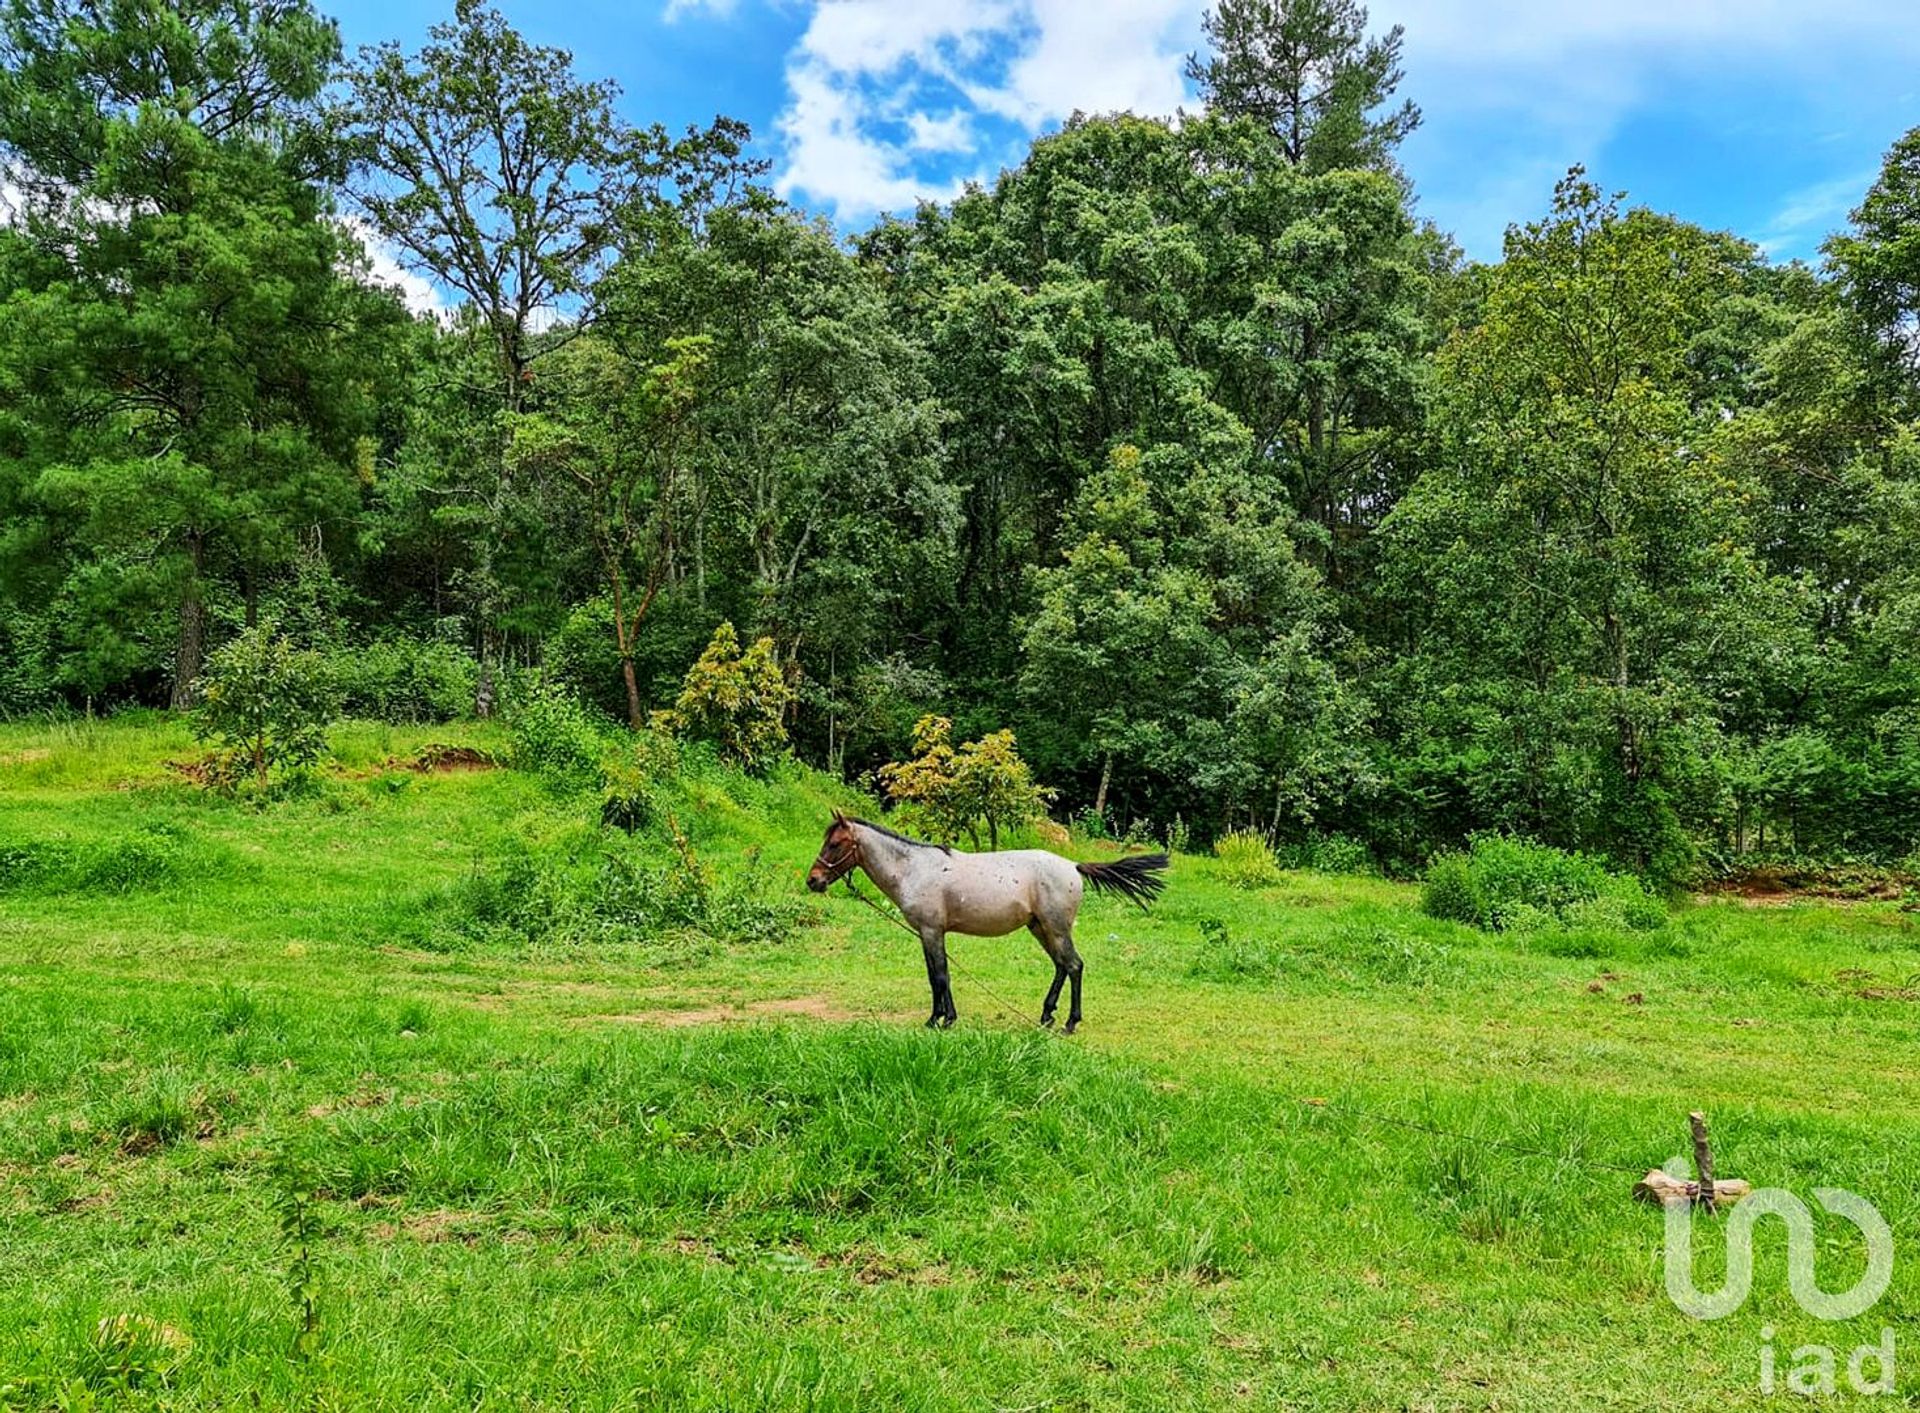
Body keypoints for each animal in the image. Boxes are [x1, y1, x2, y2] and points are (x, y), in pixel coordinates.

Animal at [798, 810, 1159, 1029]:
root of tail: (1073, 866)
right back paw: (1046, 1015)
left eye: (834, 844)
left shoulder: (932, 931)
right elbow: (935, 976)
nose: (813, 880)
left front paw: (942, 1020)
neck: (913, 868)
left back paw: (1070, 1022)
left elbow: (940, 976)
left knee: (1073, 965)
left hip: (1056, 929)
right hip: (1040, 928)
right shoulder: (927, 934)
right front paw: (940, 1017)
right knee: (1061, 966)